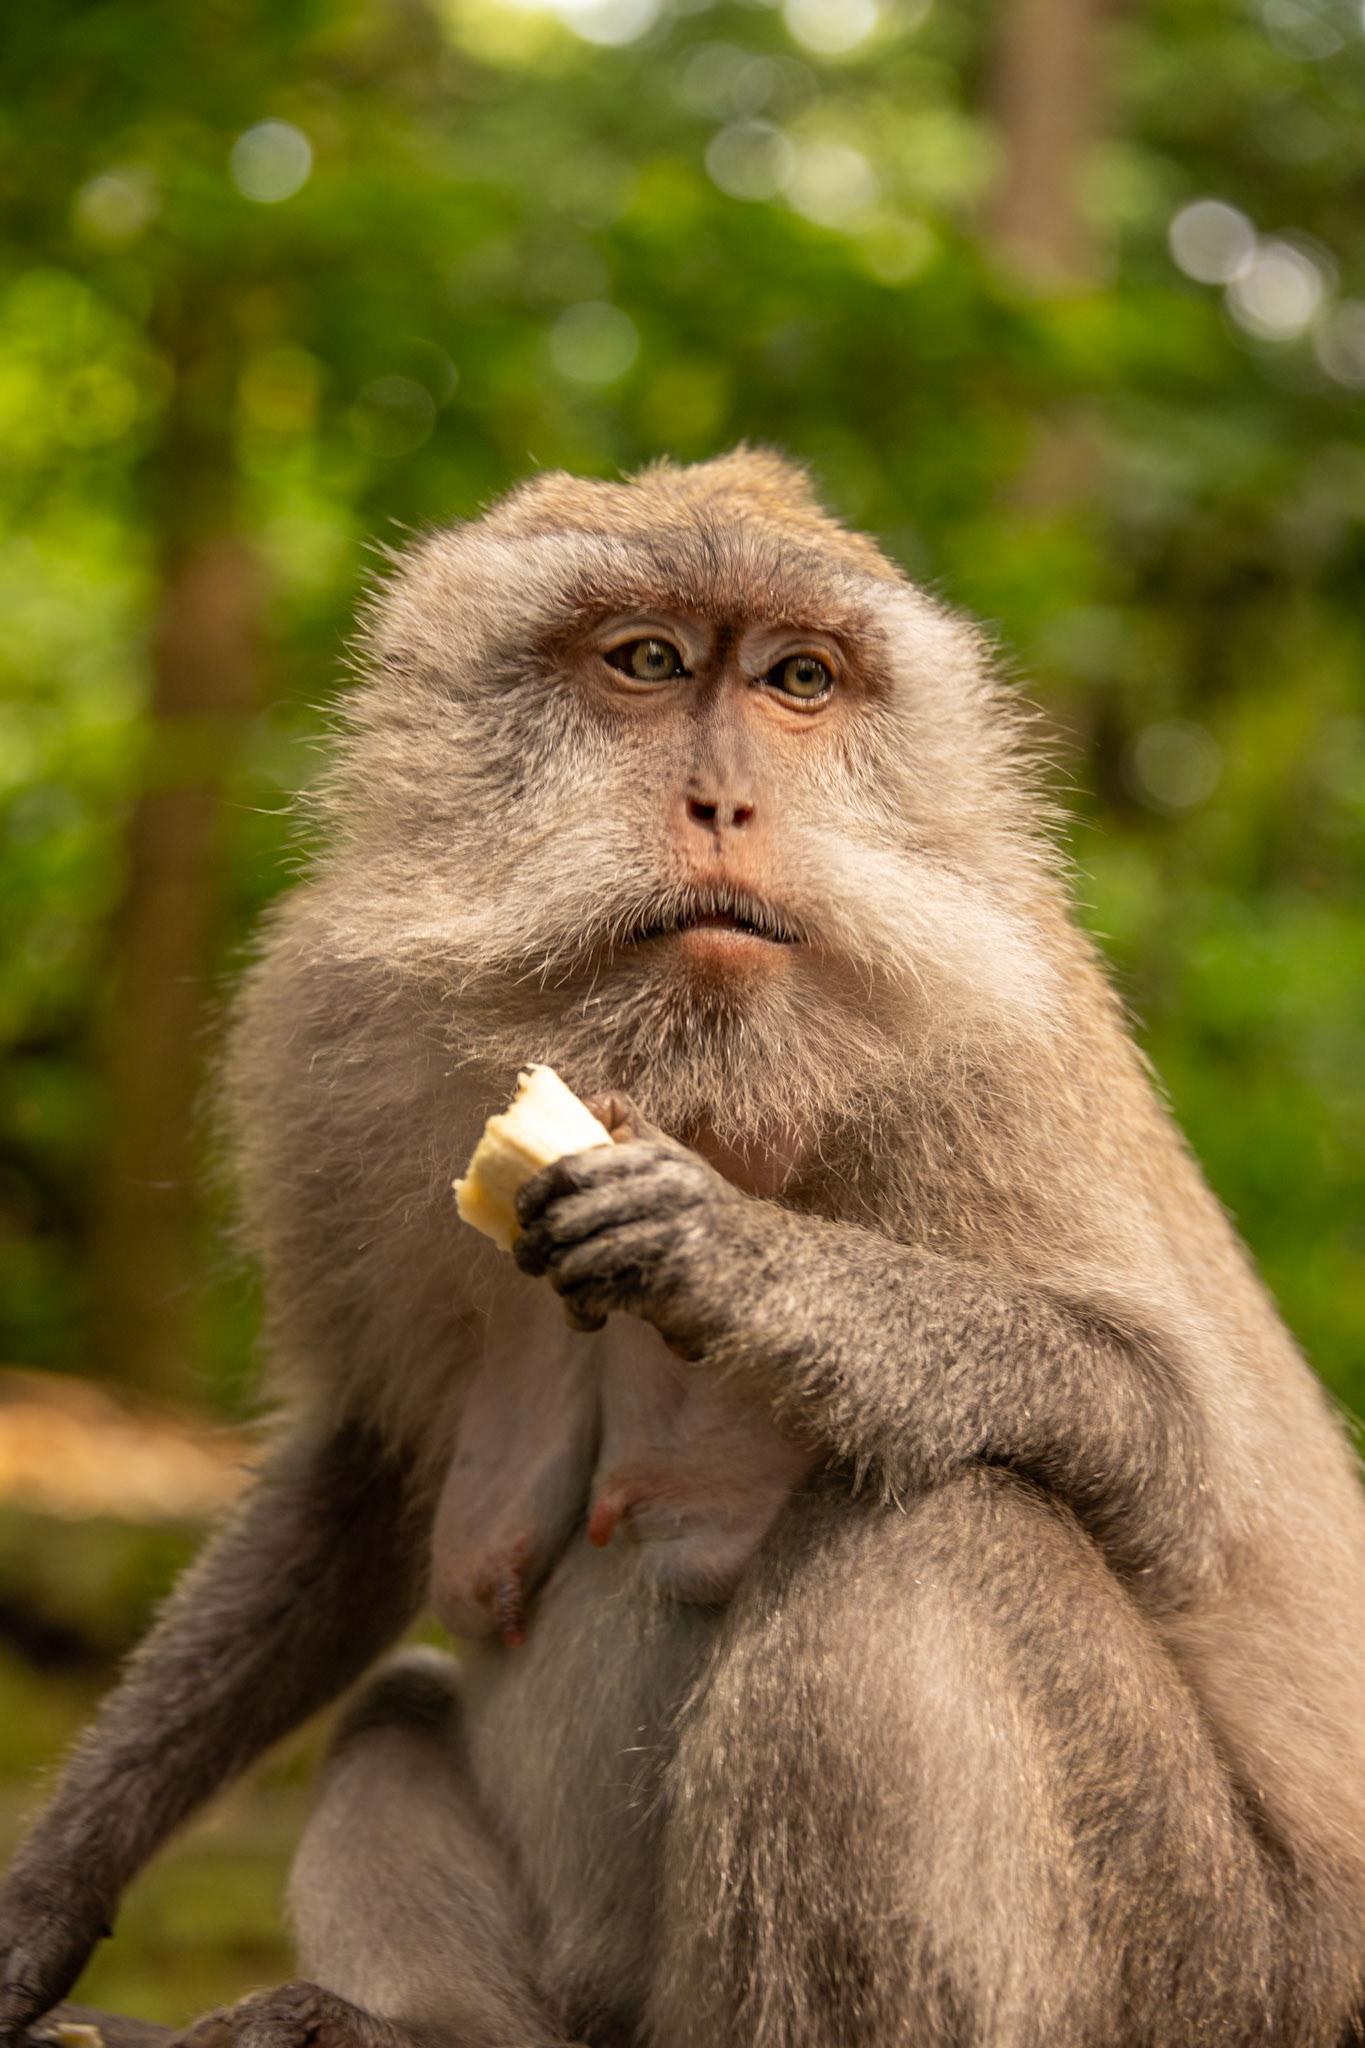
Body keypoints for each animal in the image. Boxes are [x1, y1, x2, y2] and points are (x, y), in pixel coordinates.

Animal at [2, 447, 1365, 2048]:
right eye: (648, 661)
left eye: (799, 679)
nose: (724, 803)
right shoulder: (327, 1038)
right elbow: (368, 1476)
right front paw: (48, 1893)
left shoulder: (991, 1041)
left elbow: (1176, 1451)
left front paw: (724, 1253)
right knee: (400, 1709)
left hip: (1204, 1964)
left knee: (932, 1536)